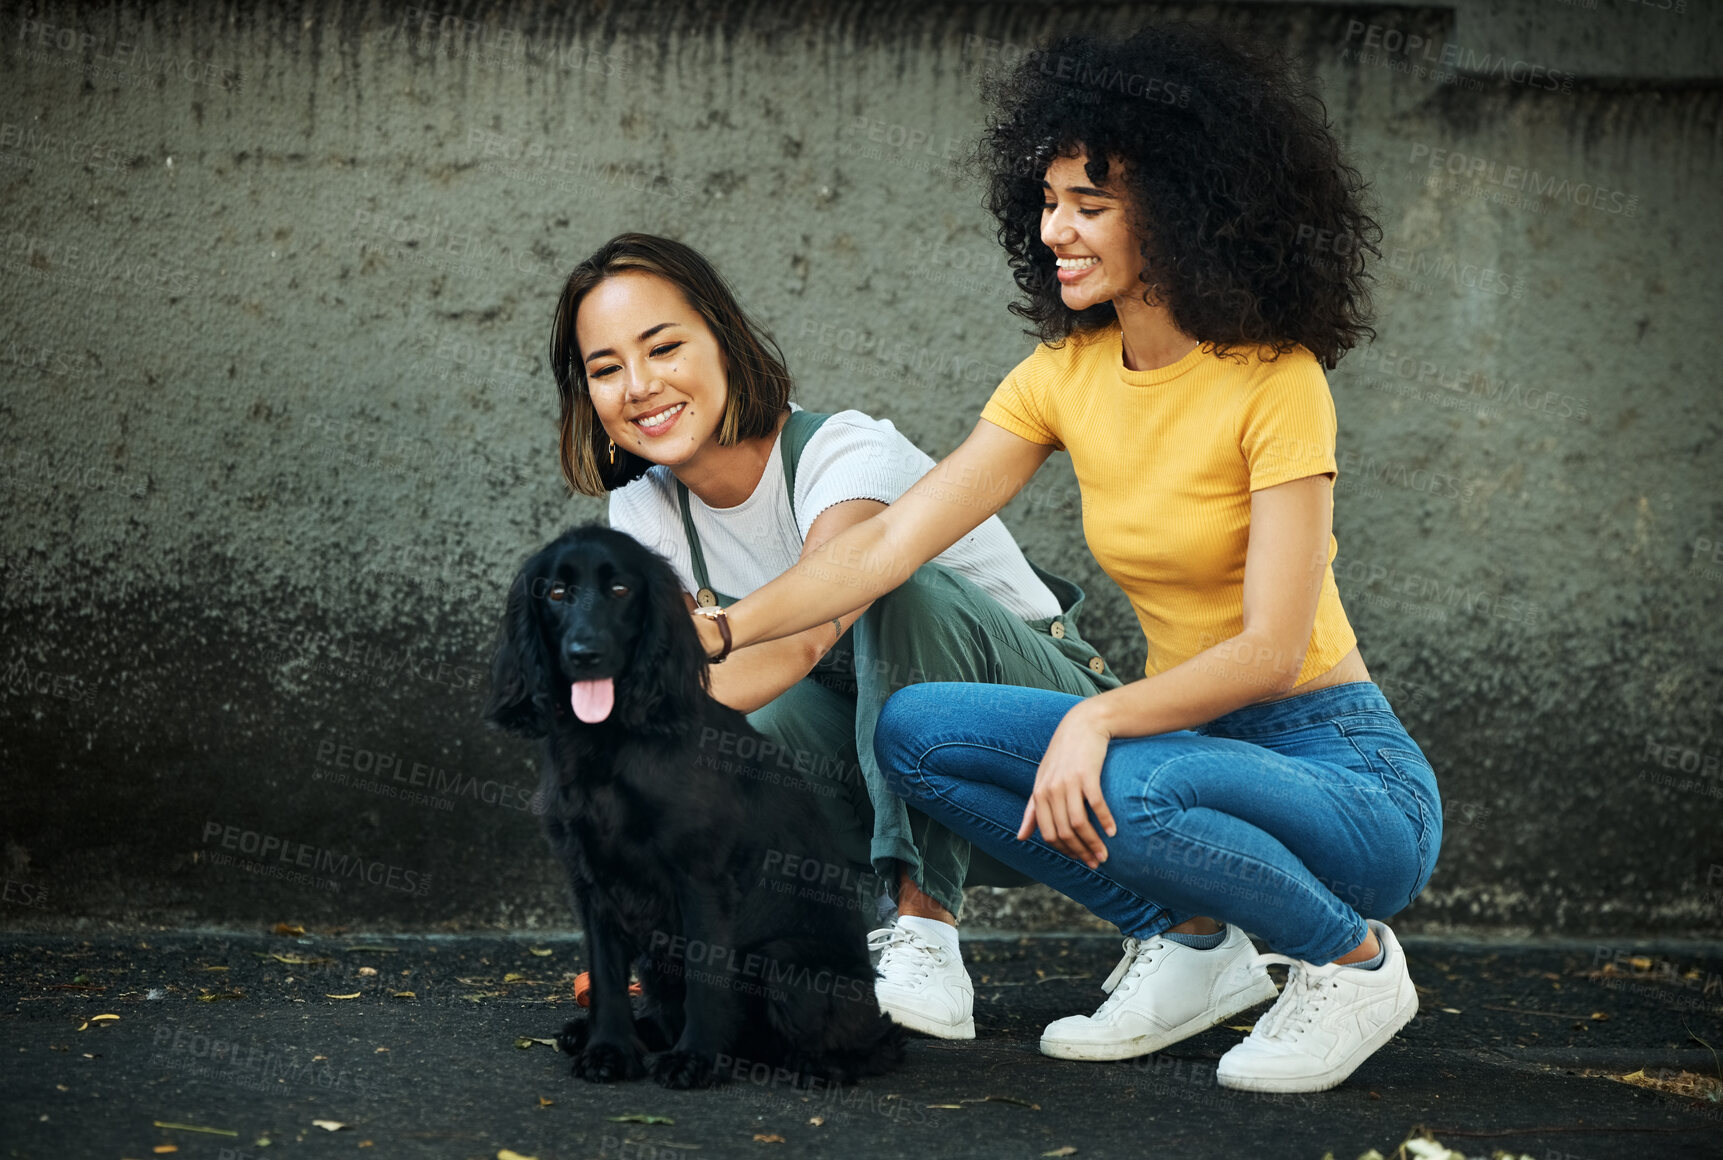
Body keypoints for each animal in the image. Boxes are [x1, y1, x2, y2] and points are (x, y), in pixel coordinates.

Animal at [482, 523, 902, 1089]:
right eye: (556, 593)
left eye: (620, 590)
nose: (584, 653)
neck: (611, 742)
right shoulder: (592, 882)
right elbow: (607, 977)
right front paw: (609, 1049)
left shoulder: (699, 878)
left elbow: (706, 977)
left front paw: (696, 1059)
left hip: (787, 964)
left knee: (875, 1043)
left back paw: (809, 1066)